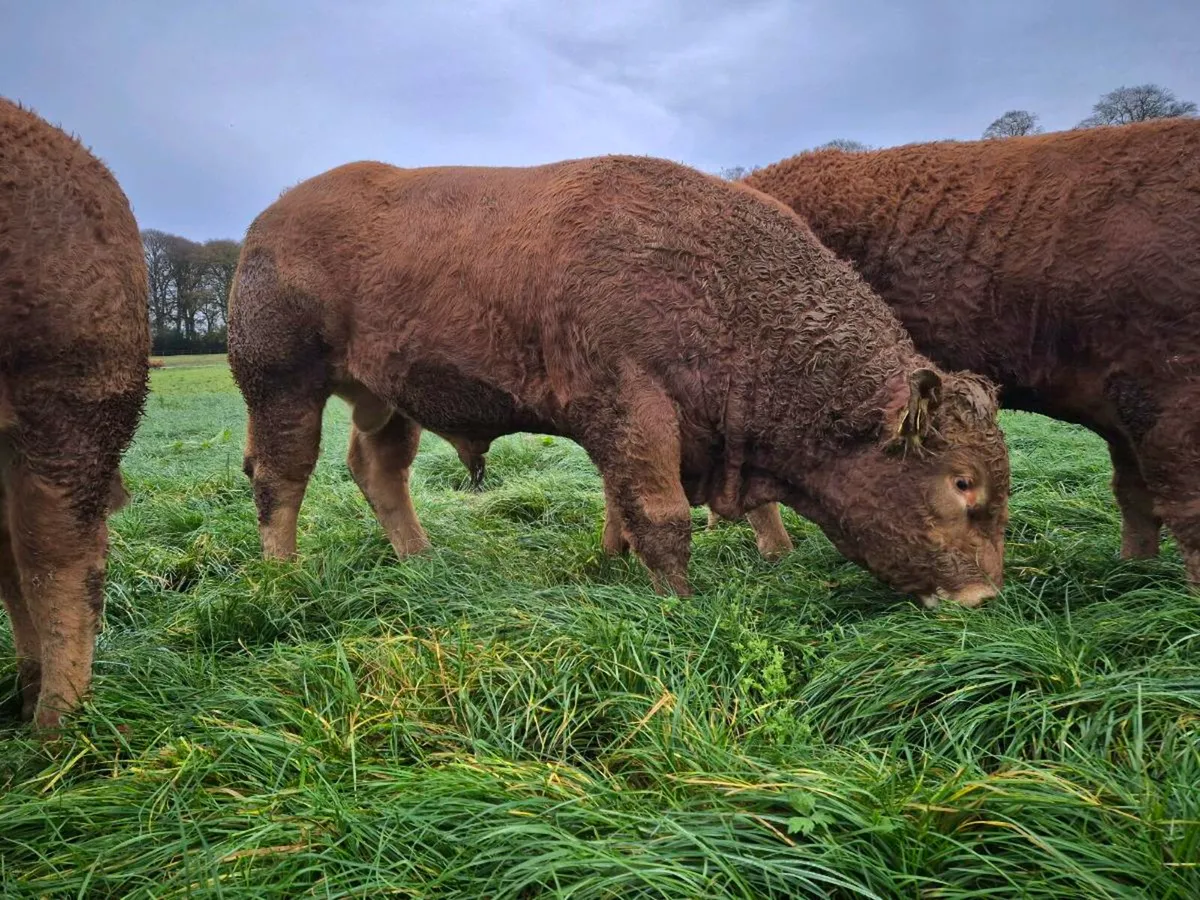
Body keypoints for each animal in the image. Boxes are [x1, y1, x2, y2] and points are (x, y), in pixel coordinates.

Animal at [228, 154, 1011, 607]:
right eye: (961, 482)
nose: (981, 595)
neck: (724, 286)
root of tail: (268, 219)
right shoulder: (634, 407)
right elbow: (660, 517)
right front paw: (679, 605)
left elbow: (629, 502)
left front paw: (620, 560)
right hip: (282, 386)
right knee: (280, 478)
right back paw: (282, 576)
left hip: (386, 399)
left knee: (378, 469)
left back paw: (421, 559)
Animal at [732, 118, 1200, 586]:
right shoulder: (1167, 399)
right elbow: (1186, 510)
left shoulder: (1130, 408)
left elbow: (1135, 495)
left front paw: (1136, 573)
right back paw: (779, 553)